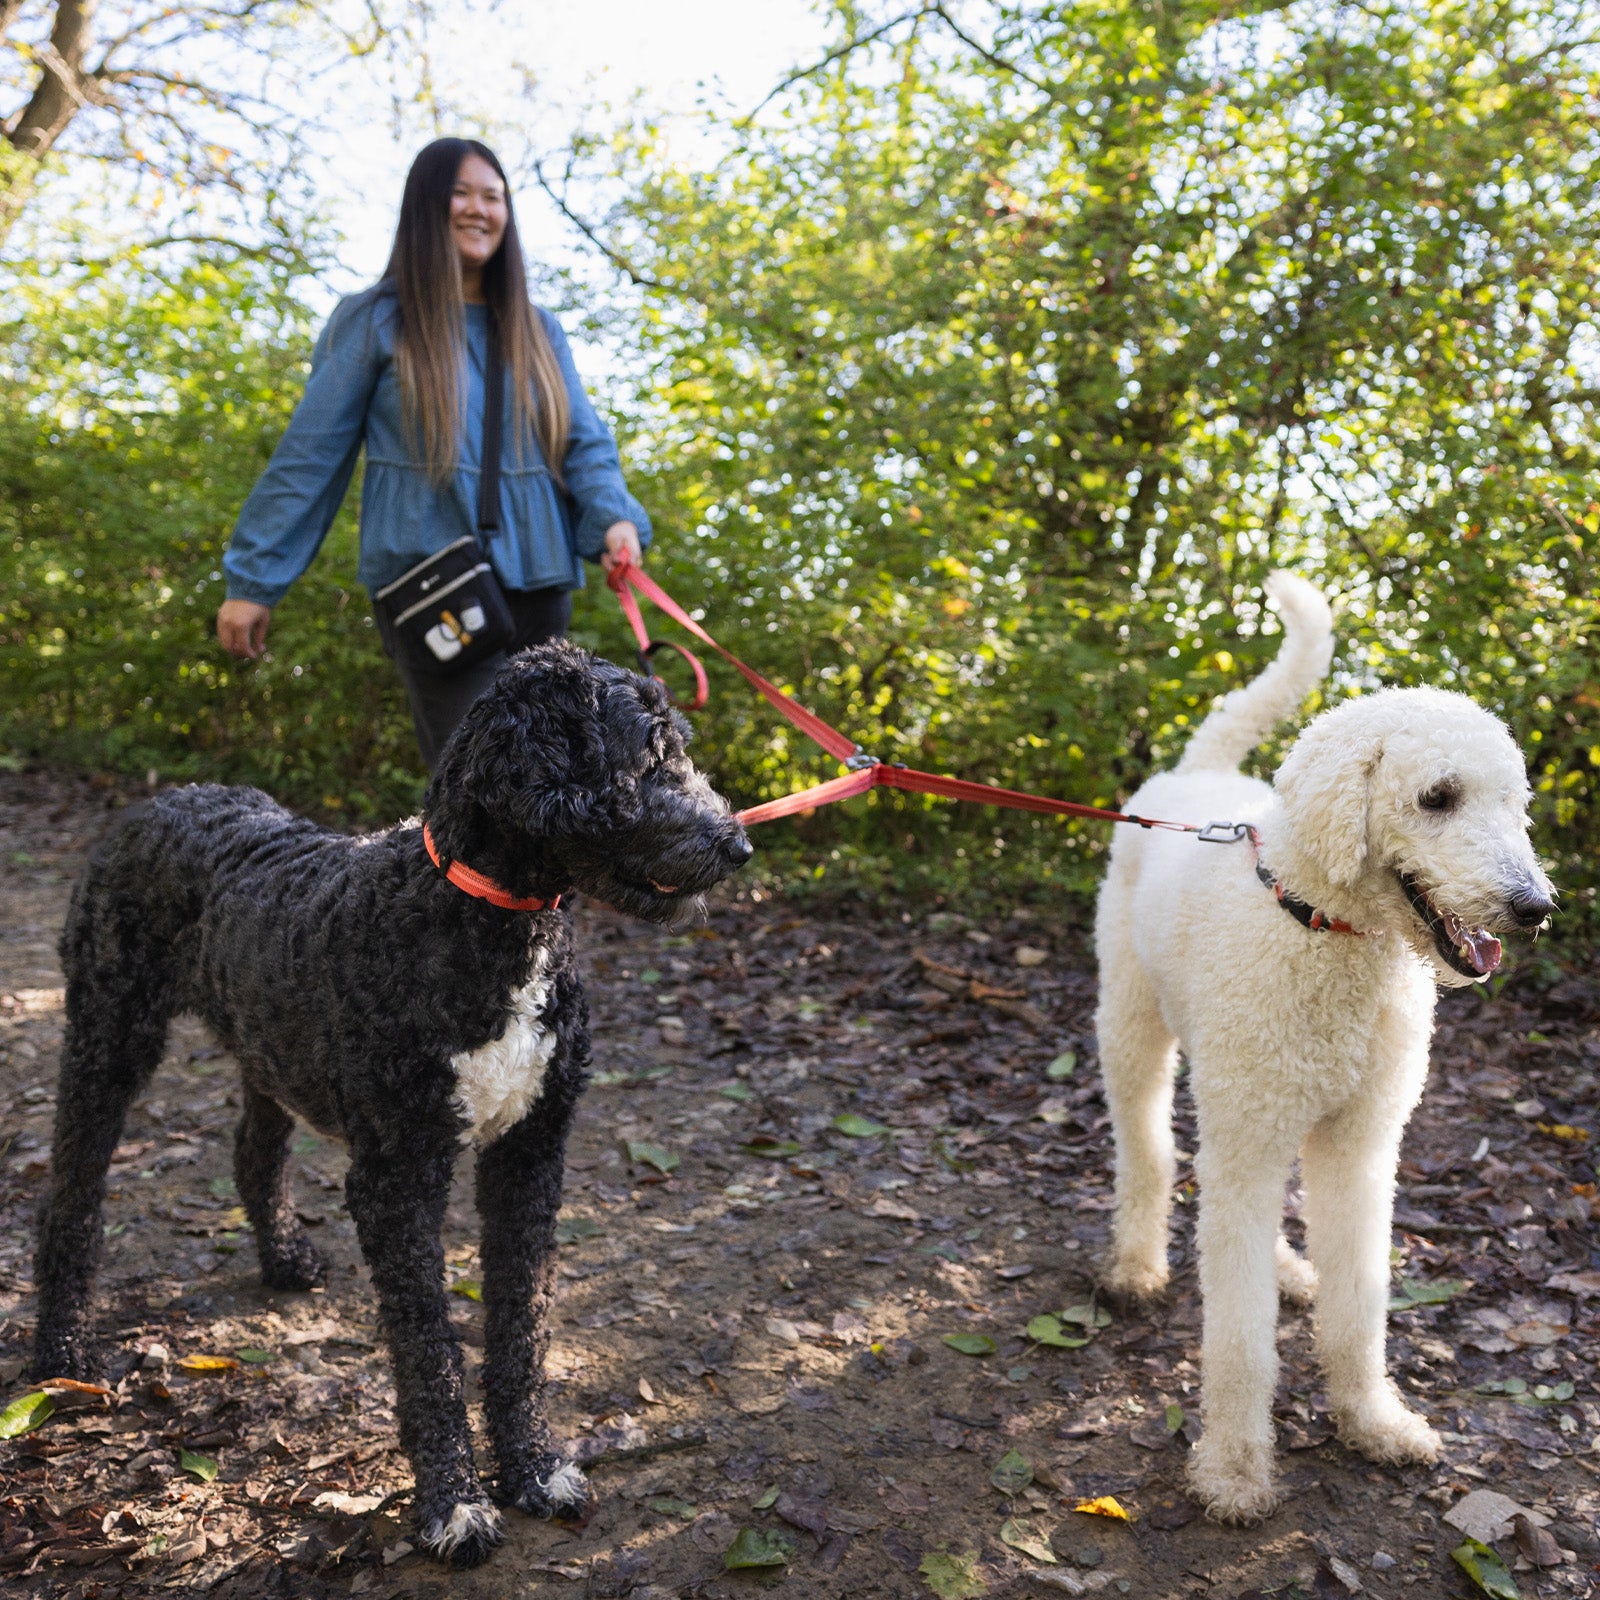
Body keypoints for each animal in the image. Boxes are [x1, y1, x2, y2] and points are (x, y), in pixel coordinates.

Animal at [31, 636, 752, 1561]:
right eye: (648, 759)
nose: (739, 844)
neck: (485, 924)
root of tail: (165, 798)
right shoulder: (399, 1175)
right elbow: (428, 1349)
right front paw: (453, 1503)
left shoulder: (532, 1152)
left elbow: (522, 1325)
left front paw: (533, 1466)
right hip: (107, 1034)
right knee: (71, 1194)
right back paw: (61, 1350)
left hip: (269, 1043)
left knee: (253, 1150)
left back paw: (283, 1258)